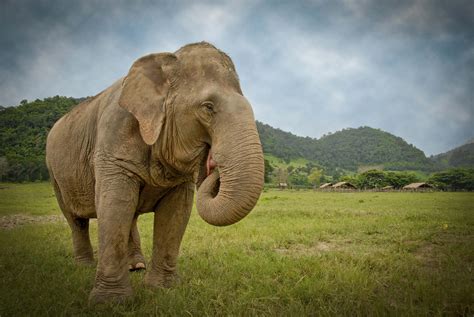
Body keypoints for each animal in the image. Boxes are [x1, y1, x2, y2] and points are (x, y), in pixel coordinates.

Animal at [45, 42, 264, 302]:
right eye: (208, 107)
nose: (212, 164)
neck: (166, 61)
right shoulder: (114, 136)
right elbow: (114, 203)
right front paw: (110, 302)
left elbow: (175, 212)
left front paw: (162, 289)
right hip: (54, 173)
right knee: (76, 218)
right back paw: (85, 266)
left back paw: (137, 267)